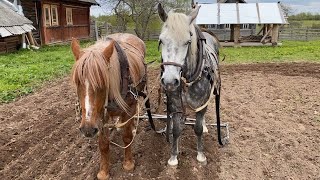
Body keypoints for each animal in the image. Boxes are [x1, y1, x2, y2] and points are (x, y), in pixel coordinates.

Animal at [70, 33, 152, 179]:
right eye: (77, 82)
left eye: (102, 82)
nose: (87, 129)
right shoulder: (100, 115)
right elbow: (103, 144)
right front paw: (103, 172)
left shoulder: (129, 108)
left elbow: (127, 137)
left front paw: (128, 163)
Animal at [158, 3, 222, 166]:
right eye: (161, 41)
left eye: (187, 41)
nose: (169, 81)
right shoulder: (175, 102)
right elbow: (176, 130)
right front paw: (173, 156)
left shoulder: (201, 103)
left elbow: (197, 128)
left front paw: (200, 154)